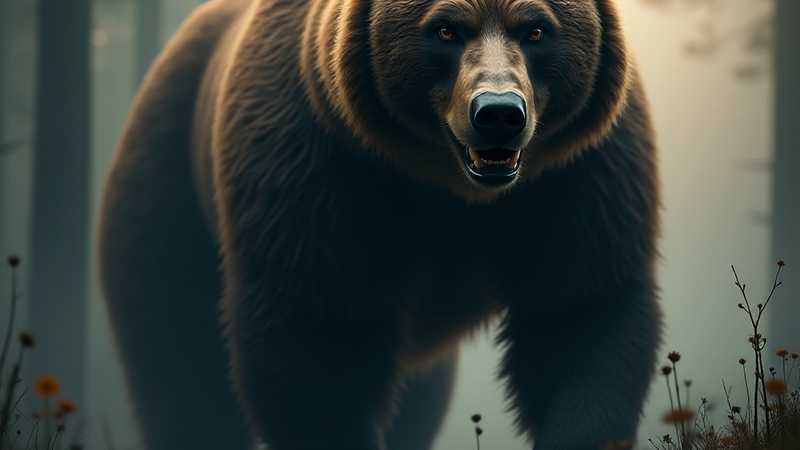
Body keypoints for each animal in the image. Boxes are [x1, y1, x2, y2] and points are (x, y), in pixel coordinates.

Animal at [97, 0, 661, 448]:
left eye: (537, 30)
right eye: (446, 29)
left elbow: (581, 315)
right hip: (168, 185)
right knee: (180, 363)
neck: (450, 187)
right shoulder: (314, 171)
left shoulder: (579, 177)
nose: (499, 113)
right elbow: (317, 339)